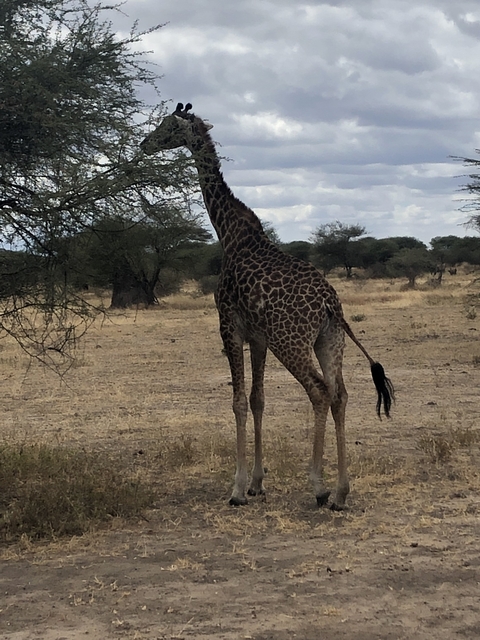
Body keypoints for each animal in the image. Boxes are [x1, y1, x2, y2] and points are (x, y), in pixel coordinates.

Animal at [140, 102, 394, 510]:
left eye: (167, 126)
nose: (145, 143)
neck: (227, 232)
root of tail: (330, 304)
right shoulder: (257, 336)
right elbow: (258, 399)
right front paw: (258, 483)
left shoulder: (229, 325)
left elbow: (238, 402)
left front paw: (238, 489)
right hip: (329, 340)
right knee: (340, 393)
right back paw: (341, 492)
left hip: (289, 341)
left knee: (319, 391)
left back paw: (319, 486)